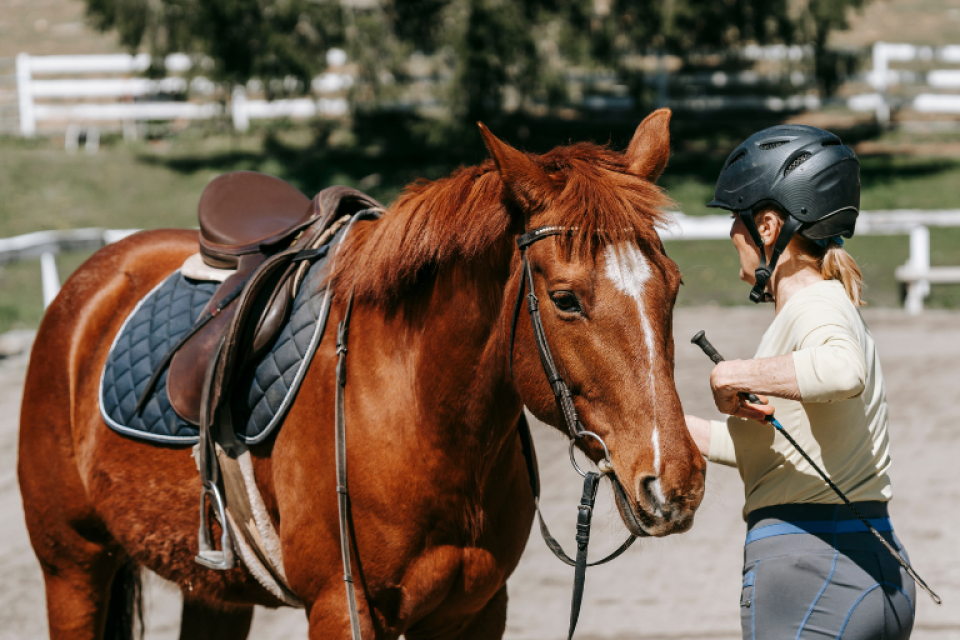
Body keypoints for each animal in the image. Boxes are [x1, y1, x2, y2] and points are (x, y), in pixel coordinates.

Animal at [16, 110, 704, 640]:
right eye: (565, 299)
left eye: (674, 286)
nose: (676, 482)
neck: (420, 417)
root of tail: (94, 279)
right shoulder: (341, 610)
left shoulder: (476, 612)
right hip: (73, 565)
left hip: (212, 589)